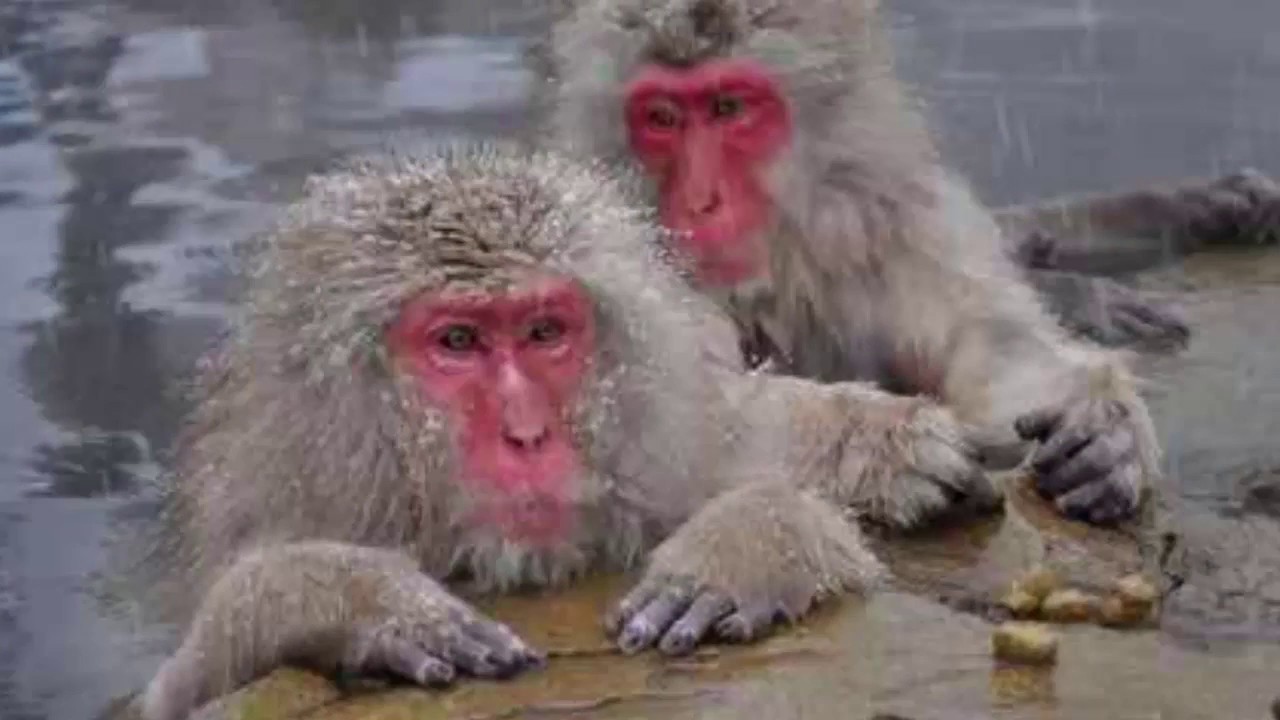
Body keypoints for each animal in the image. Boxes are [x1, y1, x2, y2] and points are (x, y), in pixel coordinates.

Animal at [136, 142, 1003, 720]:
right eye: (458, 342)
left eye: (545, 332)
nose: (526, 433)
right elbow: (176, 685)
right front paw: (357, 599)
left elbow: (729, 426)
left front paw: (761, 536)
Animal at [538, 0, 1166, 526]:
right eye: (662, 118)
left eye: (728, 108)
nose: (700, 202)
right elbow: (656, 424)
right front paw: (878, 443)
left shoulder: (897, 222)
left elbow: (991, 337)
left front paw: (1099, 424)